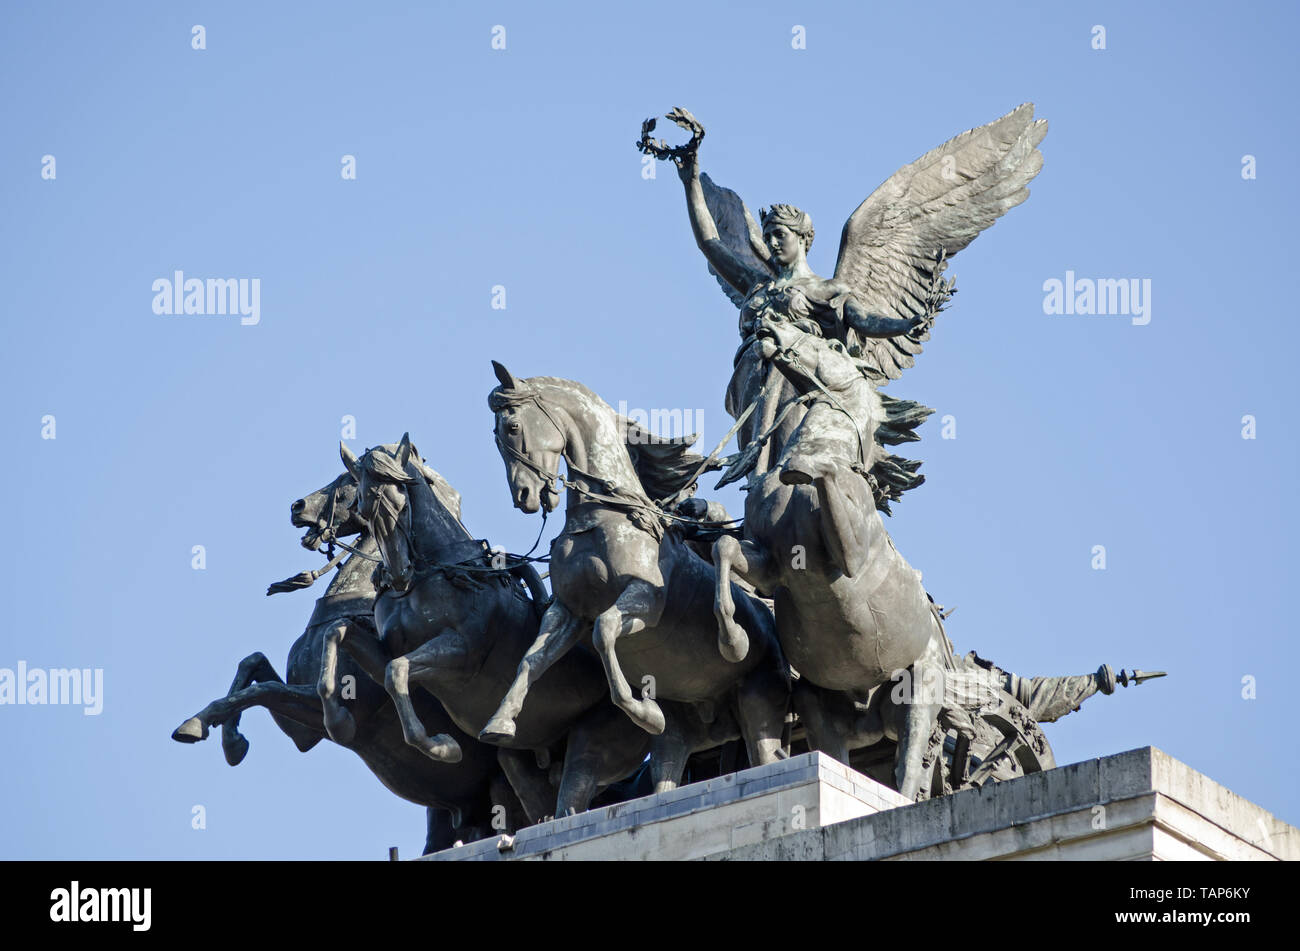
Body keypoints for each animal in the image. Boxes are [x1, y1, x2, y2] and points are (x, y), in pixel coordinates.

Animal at [170, 465, 525, 852]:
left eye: (347, 479)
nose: (297, 507)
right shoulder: (303, 734)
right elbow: (252, 667)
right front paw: (213, 731)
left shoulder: (342, 708)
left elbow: (262, 690)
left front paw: (220, 734)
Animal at [473, 361, 785, 769]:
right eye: (495, 436)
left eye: (511, 427)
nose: (523, 496)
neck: (602, 517)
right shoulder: (568, 611)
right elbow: (531, 659)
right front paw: (501, 720)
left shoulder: (645, 600)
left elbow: (604, 631)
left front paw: (645, 713)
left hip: (760, 696)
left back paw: (733, 641)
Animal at [707, 315, 951, 800]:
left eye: (834, 346)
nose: (768, 324)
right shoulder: (771, 567)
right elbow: (723, 548)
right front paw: (732, 639)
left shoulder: (850, 555)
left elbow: (823, 479)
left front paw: (806, 463)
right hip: (820, 707)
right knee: (837, 753)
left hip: (918, 691)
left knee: (907, 767)